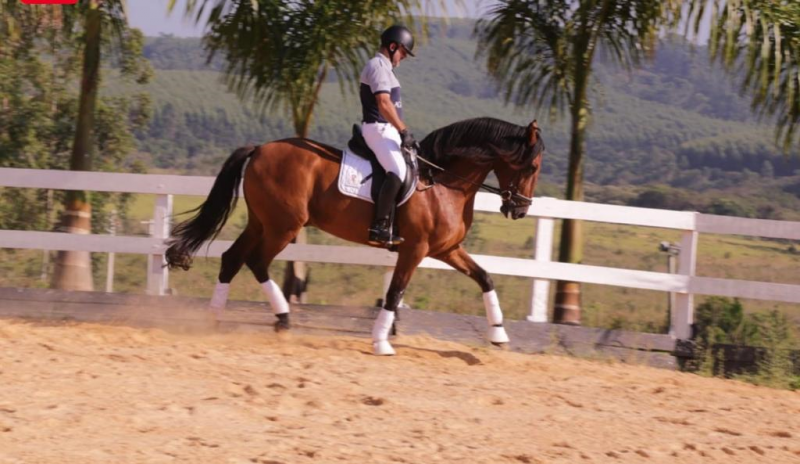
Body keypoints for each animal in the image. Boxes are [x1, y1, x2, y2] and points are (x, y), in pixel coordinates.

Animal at [166, 117, 548, 356]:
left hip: (262, 222)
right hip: (283, 226)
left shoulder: (447, 249)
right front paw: (381, 343)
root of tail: (260, 148)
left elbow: (485, 278)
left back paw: (214, 320)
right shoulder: (415, 250)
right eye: (531, 167)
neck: (442, 183)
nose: (520, 210)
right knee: (256, 260)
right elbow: (394, 294)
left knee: (232, 258)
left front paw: (499, 335)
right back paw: (283, 318)